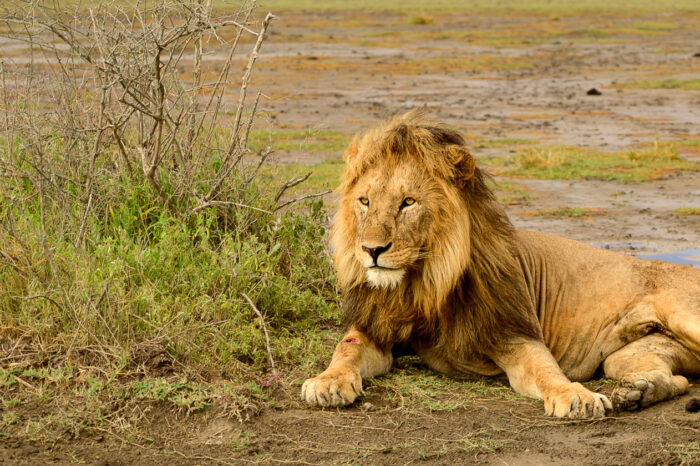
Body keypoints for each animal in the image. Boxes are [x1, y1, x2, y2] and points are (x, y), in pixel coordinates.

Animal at [302, 112, 700, 418]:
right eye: (365, 201)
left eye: (408, 203)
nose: (371, 250)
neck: (425, 283)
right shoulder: (375, 328)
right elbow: (347, 347)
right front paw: (327, 382)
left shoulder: (515, 334)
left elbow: (545, 371)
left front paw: (575, 396)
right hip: (626, 356)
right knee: (679, 380)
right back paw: (640, 391)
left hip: (685, 316)